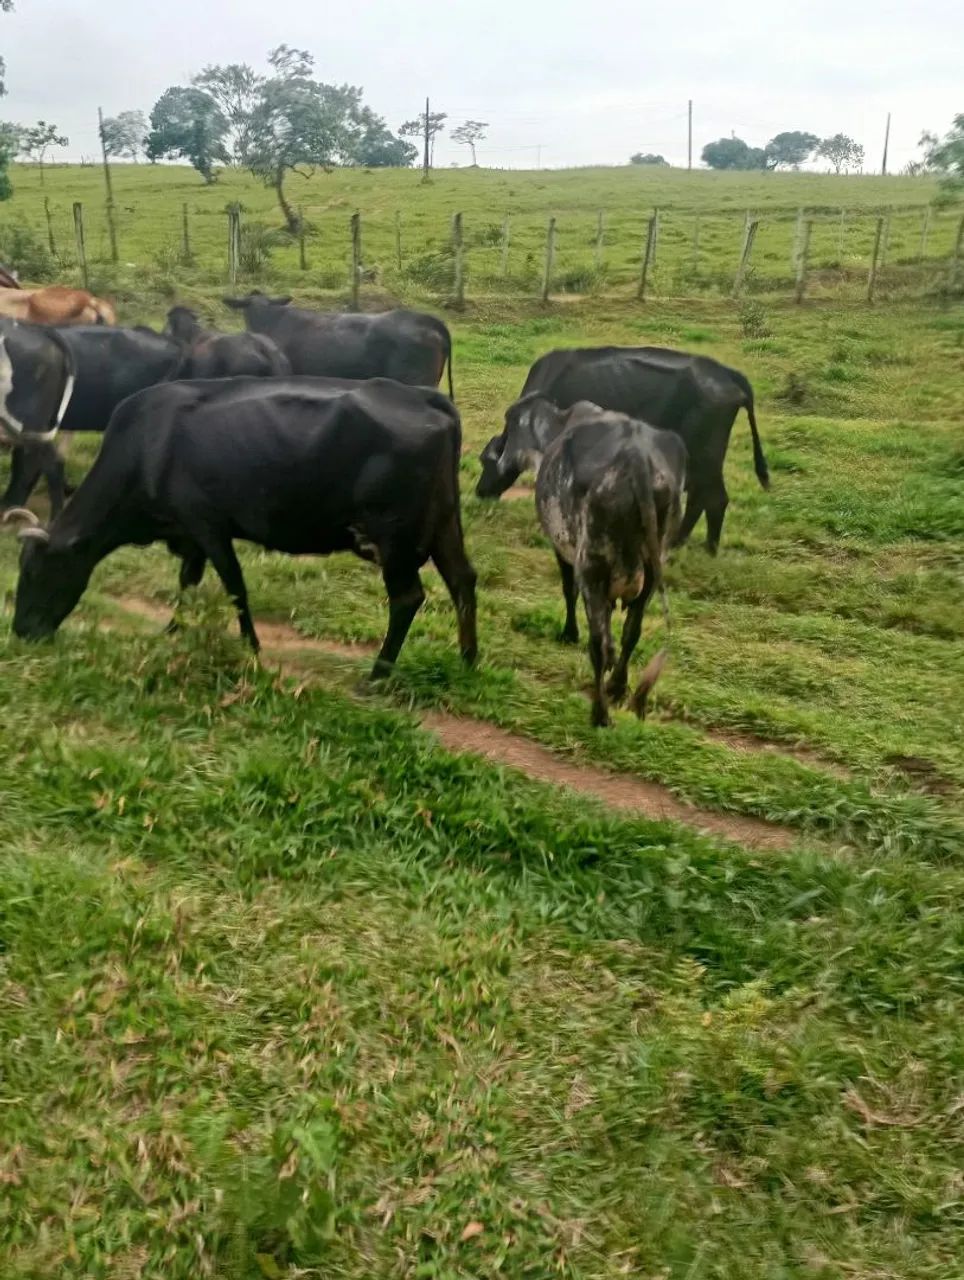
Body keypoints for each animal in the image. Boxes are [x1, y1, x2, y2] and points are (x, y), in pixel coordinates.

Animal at [6, 376, 478, 681]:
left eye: (35, 573)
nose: (20, 633)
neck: (145, 448)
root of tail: (426, 398)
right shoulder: (189, 531)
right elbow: (188, 582)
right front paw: (173, 630)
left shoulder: (208, 524)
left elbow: (234, 586)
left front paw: (251, 647)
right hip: (444, 523)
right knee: (462, 580)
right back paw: (468, 659)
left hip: (393, 536)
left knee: (408, 598)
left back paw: (379, 674)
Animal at [476, 346, 768, 554]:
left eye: (485, 461)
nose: (480, 492)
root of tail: (724, 372)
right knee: (702, 498)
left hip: (706, 456)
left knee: (714, 499)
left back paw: (704, 549)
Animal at [491, 393, 686, 728]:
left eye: (509, 427)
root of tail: (636, 458)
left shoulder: (563, 550)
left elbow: (568, 591)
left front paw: (569, 633)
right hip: (650, 571)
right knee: (630, 633)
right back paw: (617, 688)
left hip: (592, 567)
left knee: (599, 643)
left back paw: (600, 713)